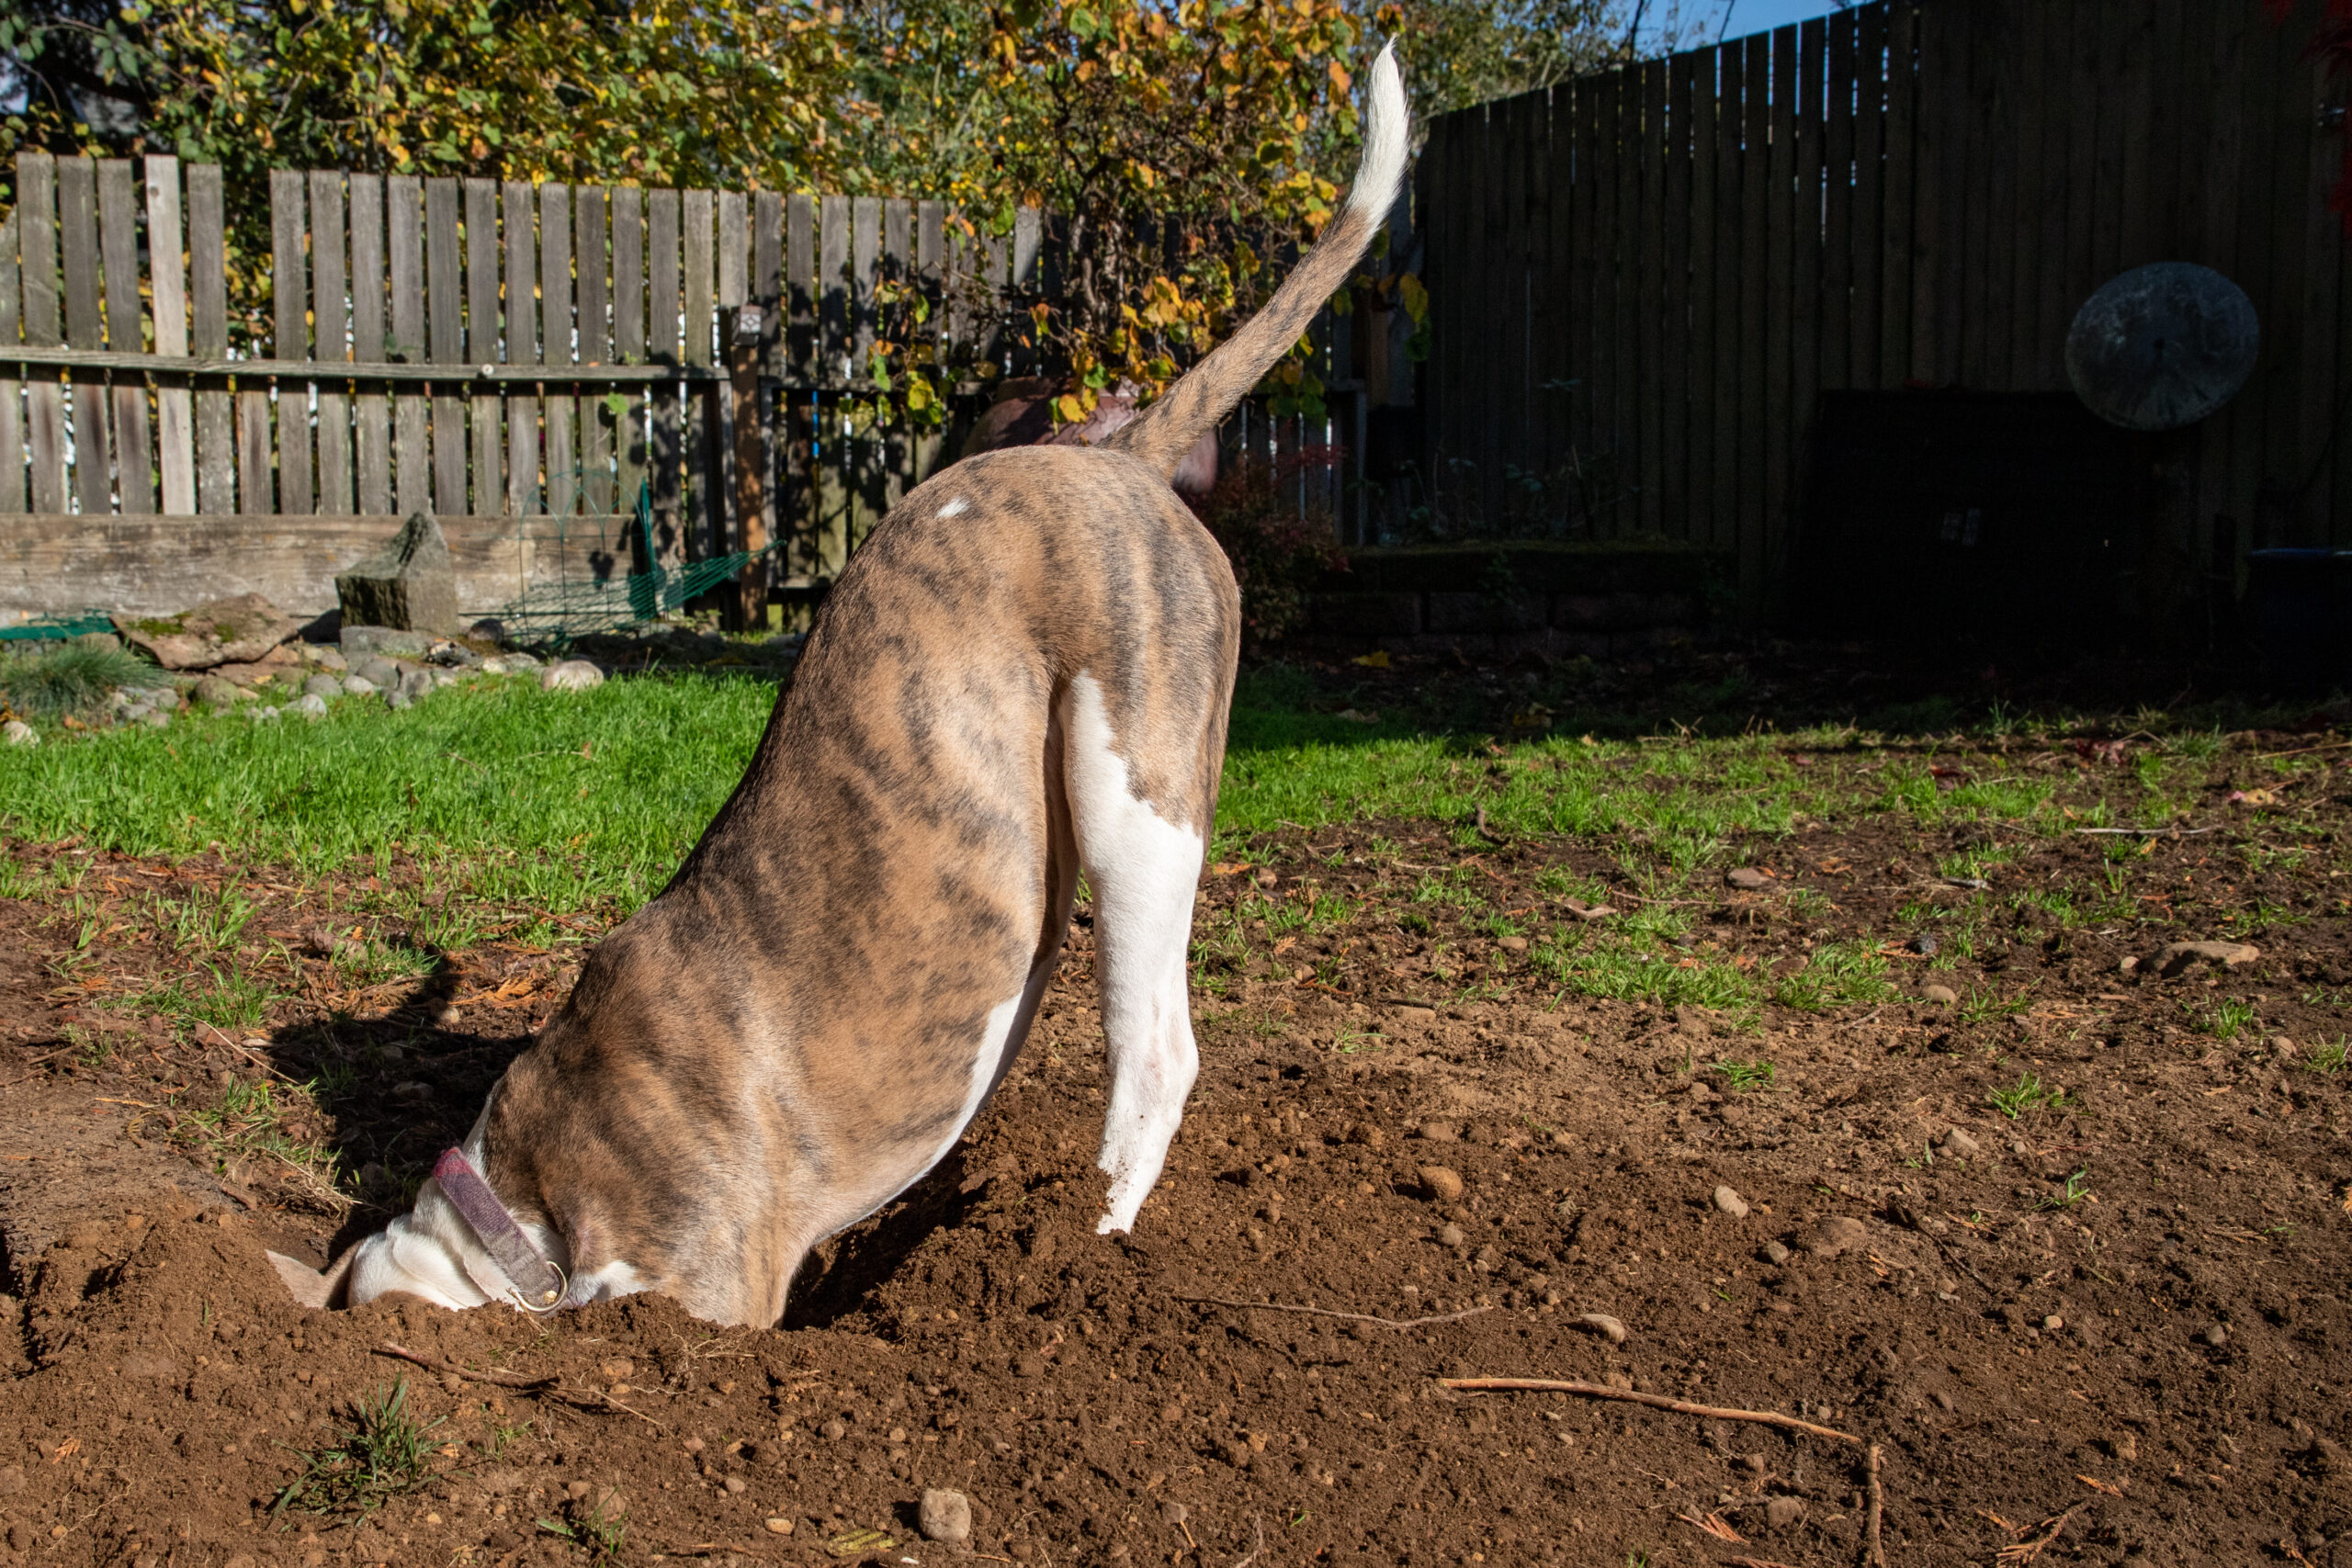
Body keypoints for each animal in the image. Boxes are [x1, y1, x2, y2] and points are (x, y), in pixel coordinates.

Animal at [277, 46, 1411, 1325]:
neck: (523, 1208)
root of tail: (1113, 453)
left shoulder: (709, 1278)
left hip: (1140, 803)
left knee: (1155, 1051)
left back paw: (1093, 1237)